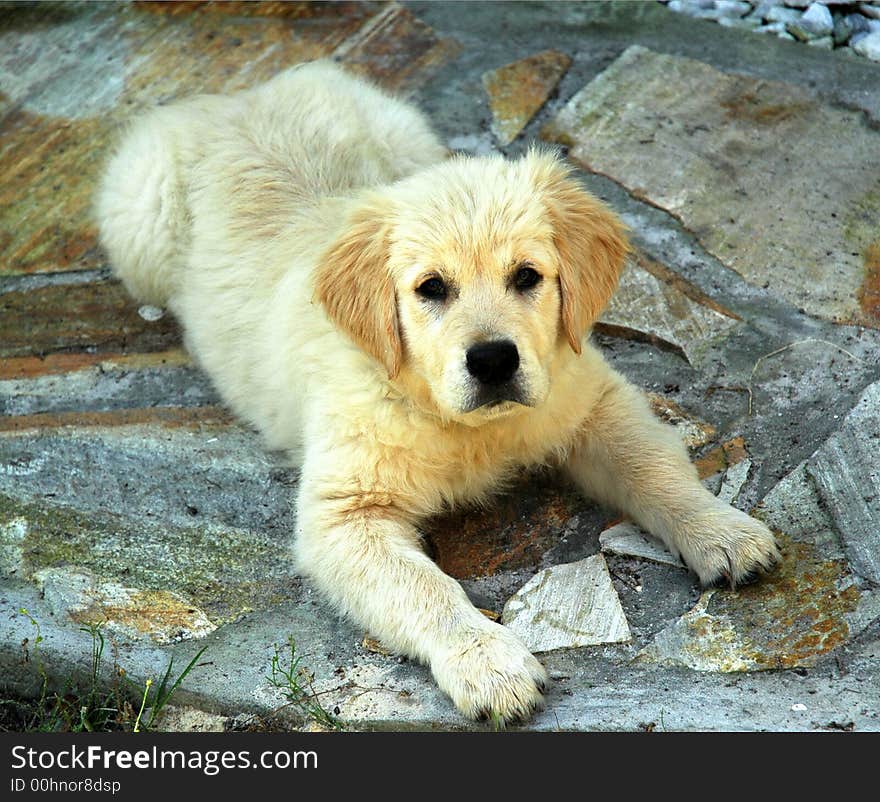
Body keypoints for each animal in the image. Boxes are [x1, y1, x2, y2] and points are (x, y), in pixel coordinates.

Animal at [94, 61, 776, 724]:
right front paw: (487, 662)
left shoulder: (593, 401)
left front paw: (720, 530)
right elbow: (427, 590)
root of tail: (233, 95)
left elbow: (653, 467)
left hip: (405, 131)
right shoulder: (347, 515)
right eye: (431, 289)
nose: (494, 361)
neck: (464, 425)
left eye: (527, 277)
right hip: (140, 215)